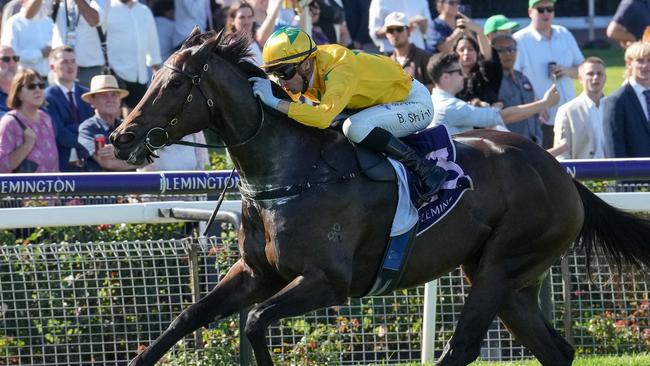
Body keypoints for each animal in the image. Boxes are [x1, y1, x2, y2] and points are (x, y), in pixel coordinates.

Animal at [109, 29, 648, 366]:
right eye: (151, 79)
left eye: (174, 83)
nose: (121, 137)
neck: (290, 173)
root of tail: (561, 174)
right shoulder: (256, 274)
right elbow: (190, 315)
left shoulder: (328, 281)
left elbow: (257, 322)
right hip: (510, 280)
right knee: (556, 350)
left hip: (502, 266)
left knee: (461, 349)